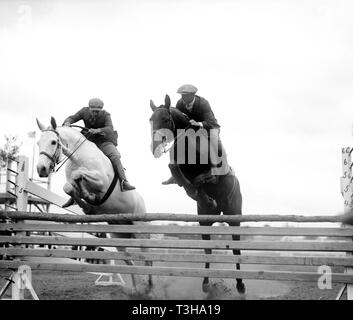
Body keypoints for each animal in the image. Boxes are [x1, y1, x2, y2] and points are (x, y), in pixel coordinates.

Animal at [35, 117, 153, 292]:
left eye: (53, 142)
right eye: (38, 143)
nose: (41, 169)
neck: (78, 157)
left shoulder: (101, 182)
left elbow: (79, 176)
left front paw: (90, 197)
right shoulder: (74, 182)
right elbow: (69, 186)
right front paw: (87, 204)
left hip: (141, 231)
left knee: (147, 259)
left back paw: (150, 287)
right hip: (119, 236)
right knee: (129, 260)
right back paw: (136, 290)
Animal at [148, 94, 245, 294]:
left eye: (165, 119)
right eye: (150, 119)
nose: (154, 147)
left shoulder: (210, 171)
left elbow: (203, 178)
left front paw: (199, 189)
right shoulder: (178, 167)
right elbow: (175, 169)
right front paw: (198, 193)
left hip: (234, 216)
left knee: (236, 249)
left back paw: (240, 285)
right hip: (205, 221)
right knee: (207, 249)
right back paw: (206, 283)